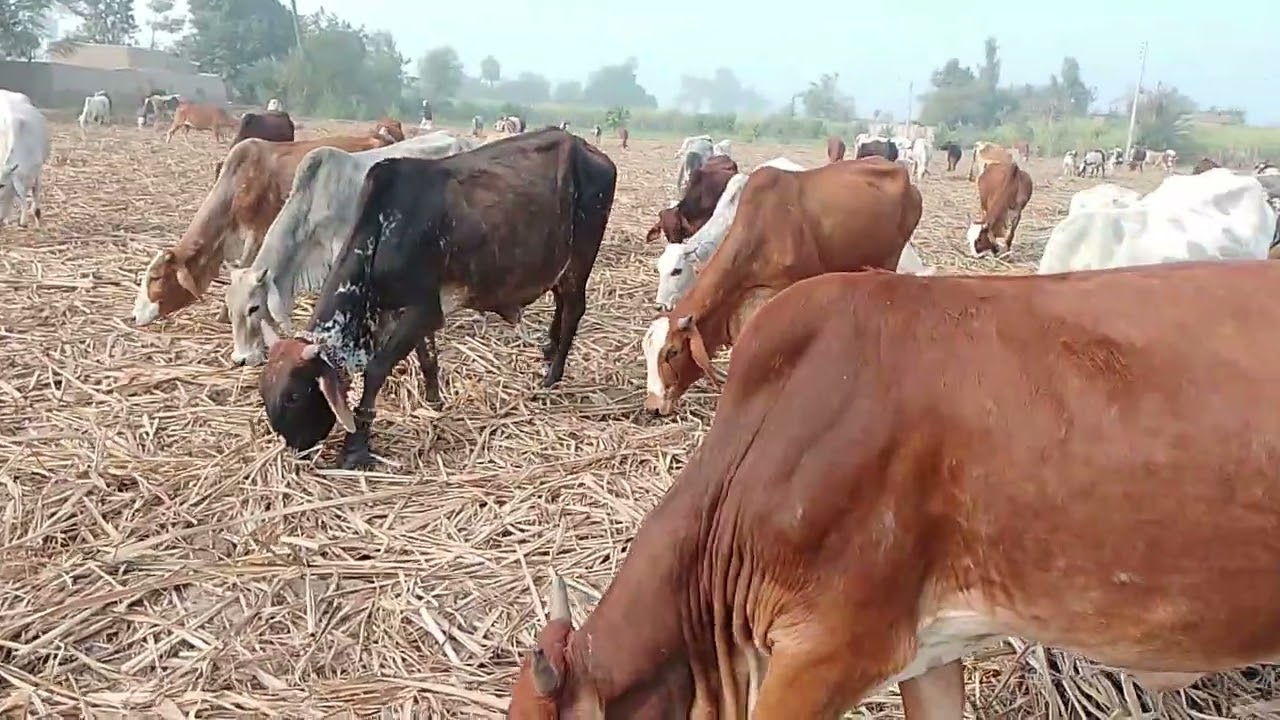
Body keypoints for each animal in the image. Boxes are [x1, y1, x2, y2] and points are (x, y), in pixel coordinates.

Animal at [254, 129, 617, 469]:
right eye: (264, 390)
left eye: (294, 396)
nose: (295, 448)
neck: (382, 230)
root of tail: (591, 151)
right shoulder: (411, 311)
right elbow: (426, 358)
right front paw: (433, 400)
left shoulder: (423, 310)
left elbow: (376, 371)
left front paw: (356, 446)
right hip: (558, 266)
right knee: (560, 303)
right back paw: (548, 350)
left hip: (580, 260)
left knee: (573, 310)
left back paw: (552, 376)